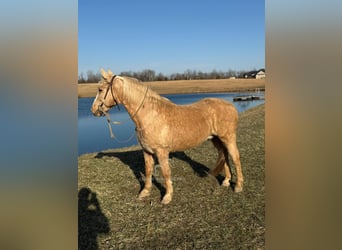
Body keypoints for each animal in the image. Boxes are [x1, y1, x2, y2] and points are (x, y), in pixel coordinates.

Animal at [91, 69, 243, 205]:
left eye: (100, 89)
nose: (93, 110)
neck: (151, 115)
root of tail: (230, 105)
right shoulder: (146, 151)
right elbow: (148, 171)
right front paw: (145, 192)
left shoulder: (162, 152)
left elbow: (165, 173)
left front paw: (167, 196)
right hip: (217, 140)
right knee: (224, 156)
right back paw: (226, 181)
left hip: (228, 138)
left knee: (235, 158)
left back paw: (238, 186)